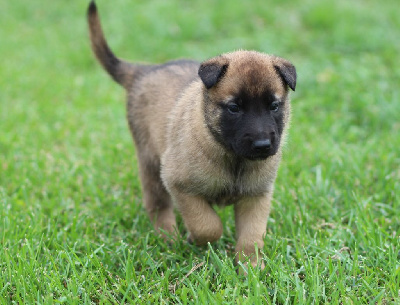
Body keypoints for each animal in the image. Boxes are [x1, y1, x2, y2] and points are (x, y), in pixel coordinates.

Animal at [87, 0, 296, 268]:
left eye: (274, 106)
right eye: (234, 108)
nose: (262, 145)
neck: (233, 159)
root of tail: (144, 71)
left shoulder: (256, 196)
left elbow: (252, 236)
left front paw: (251, 268)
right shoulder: (180, 185)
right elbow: (207, 225)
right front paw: (196, 240)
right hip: (150, 162)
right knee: (157, 205)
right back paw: (168, 237)